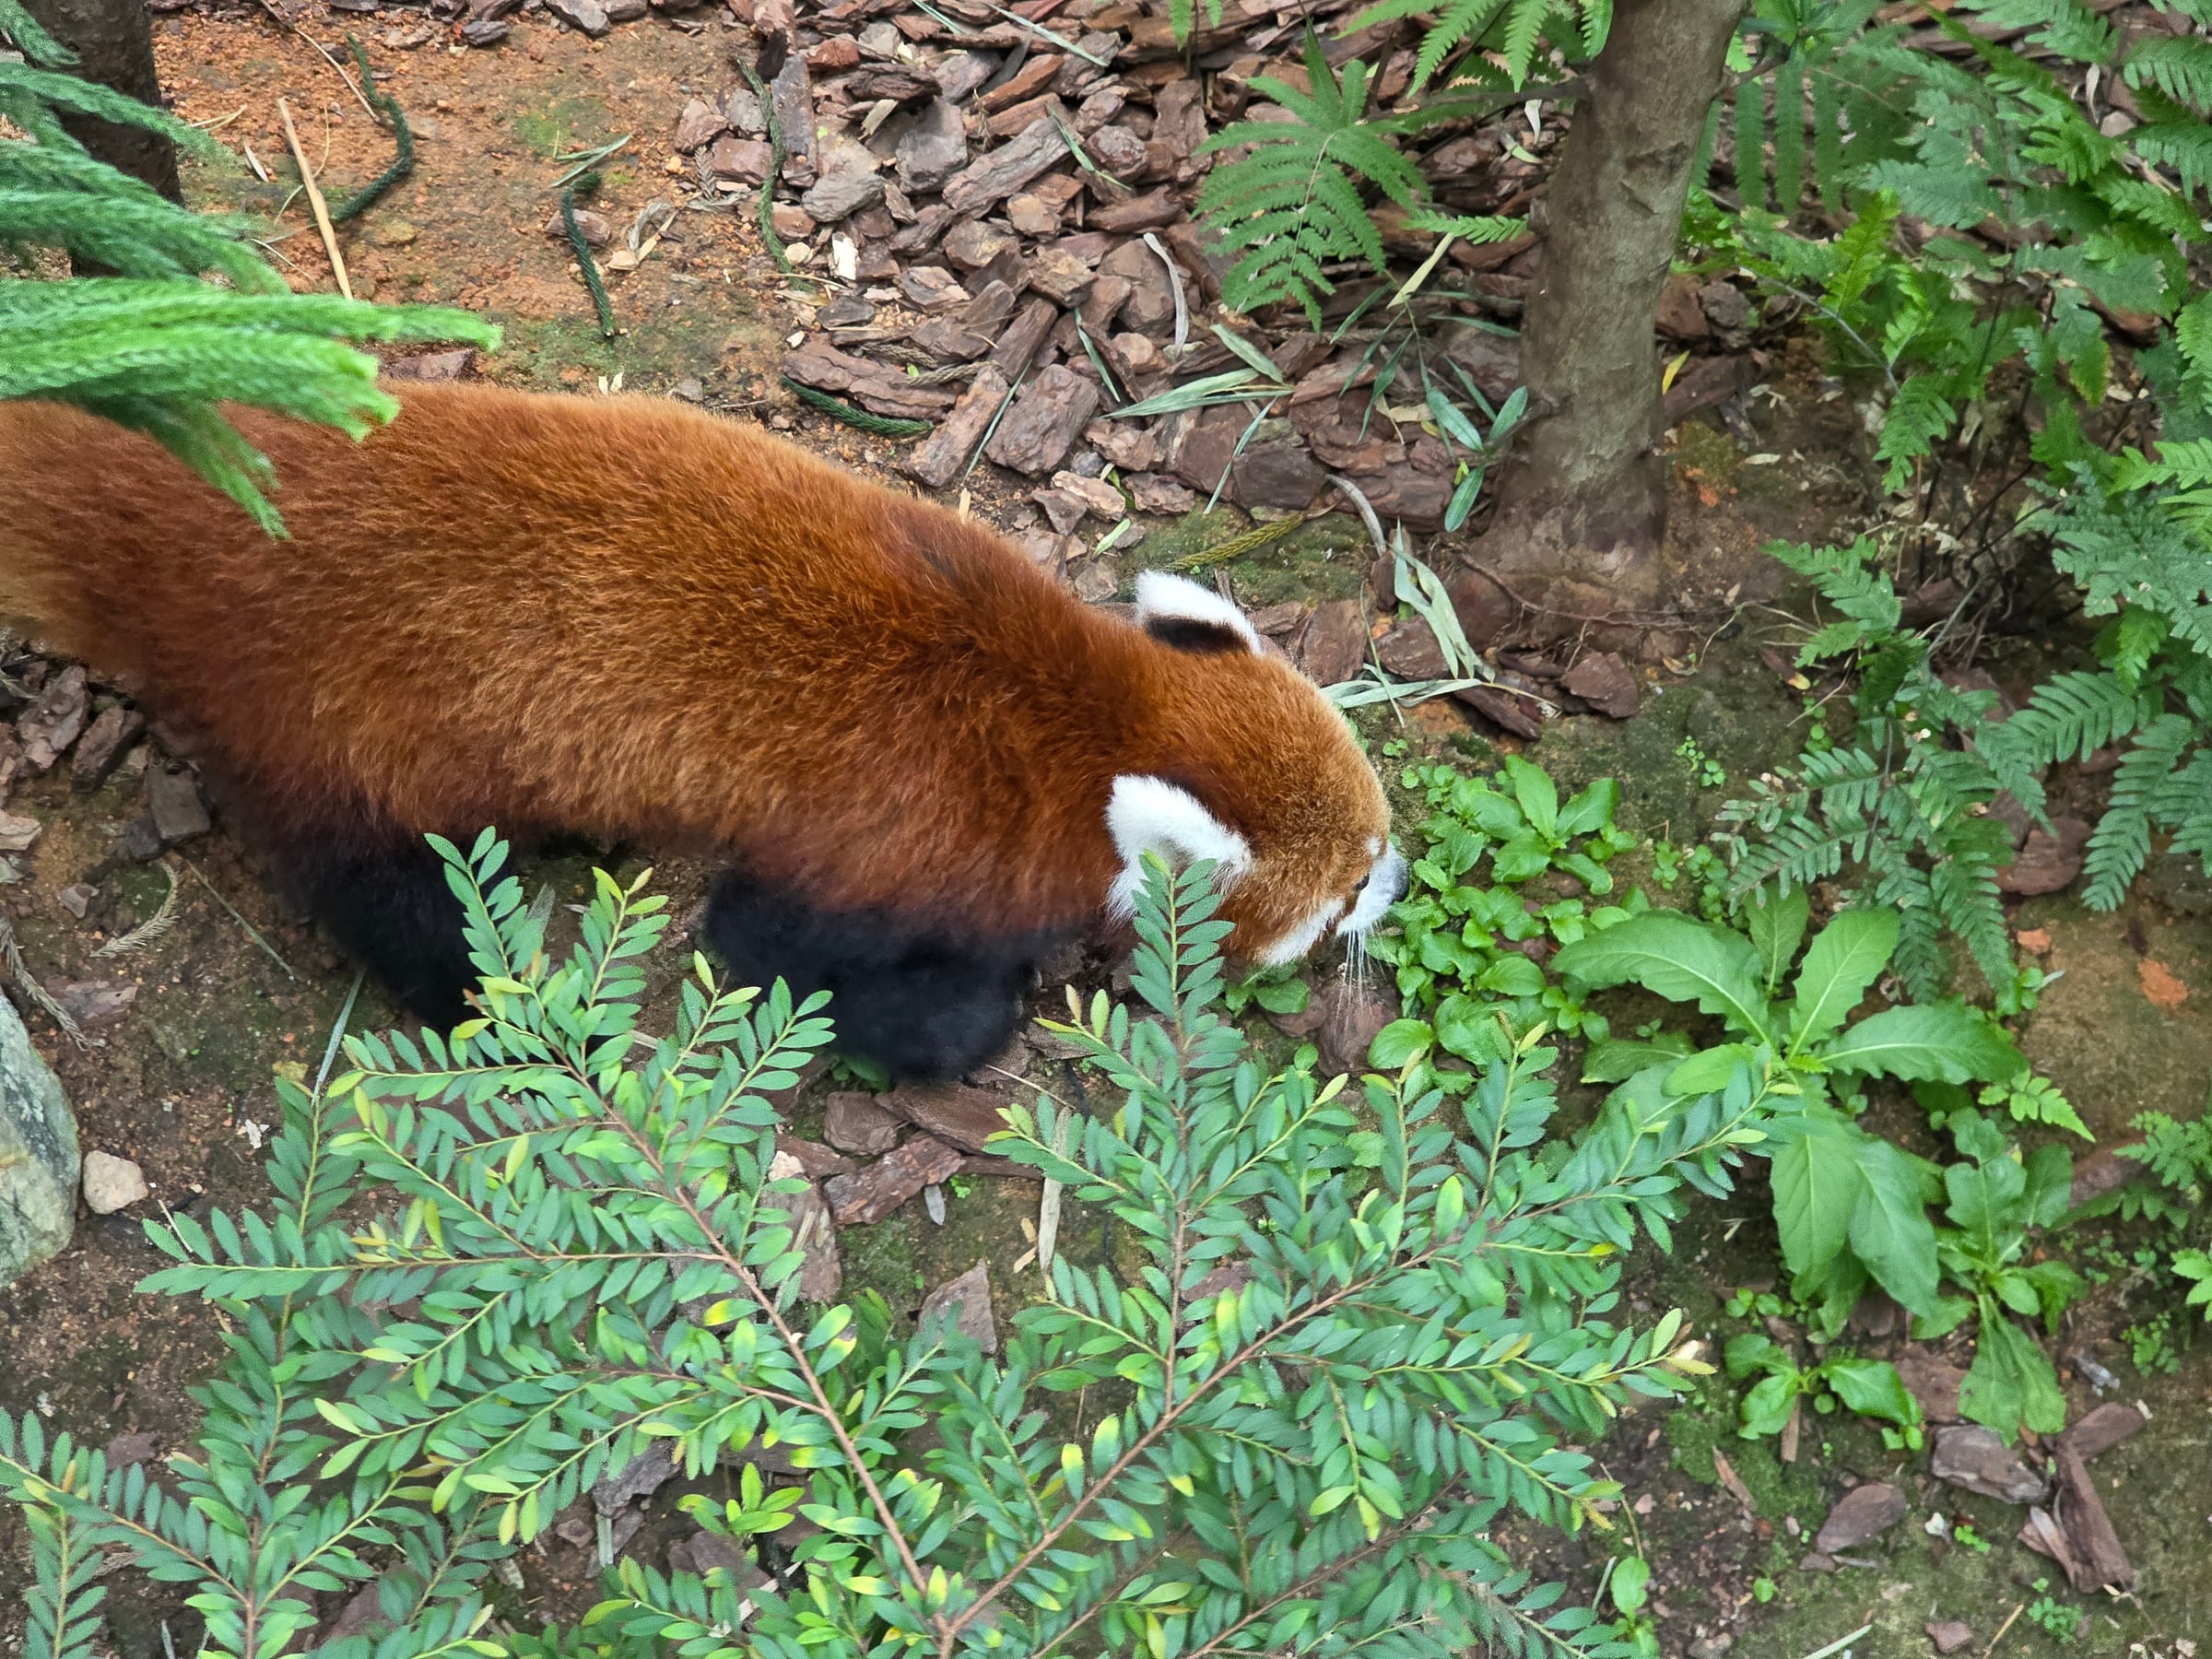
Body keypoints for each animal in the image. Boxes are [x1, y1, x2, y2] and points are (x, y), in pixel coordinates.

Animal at [0, 383, 1405, 1077]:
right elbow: (765, 953)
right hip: (325, 721)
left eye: (1376, 843)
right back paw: (492, 1000)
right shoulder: (908, 843)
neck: (1088, 720)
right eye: (1338, 900)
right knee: (382, 888)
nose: (1392, 881)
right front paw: (967, 1011)